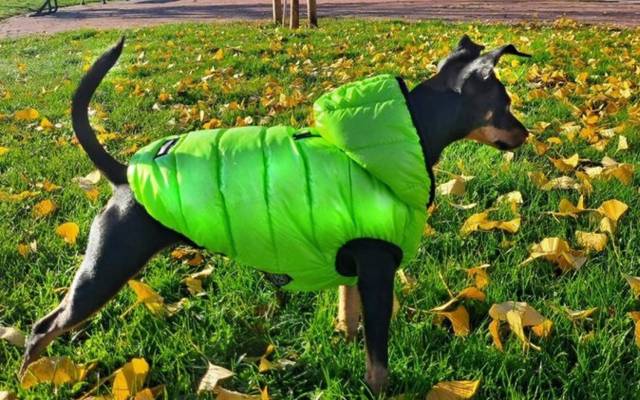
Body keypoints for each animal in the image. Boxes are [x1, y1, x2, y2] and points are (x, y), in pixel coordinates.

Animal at [18, 34, 528, 394]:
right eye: (505, 105)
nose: (525, 134)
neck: (402, 135)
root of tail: (124, 175)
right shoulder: (379, 271)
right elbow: (378, 357)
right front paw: (380, 390)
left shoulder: (355, 269)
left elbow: (350, 316)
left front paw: (344, 341)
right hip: (104, 270)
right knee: (41, 328)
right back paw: (30, 379)